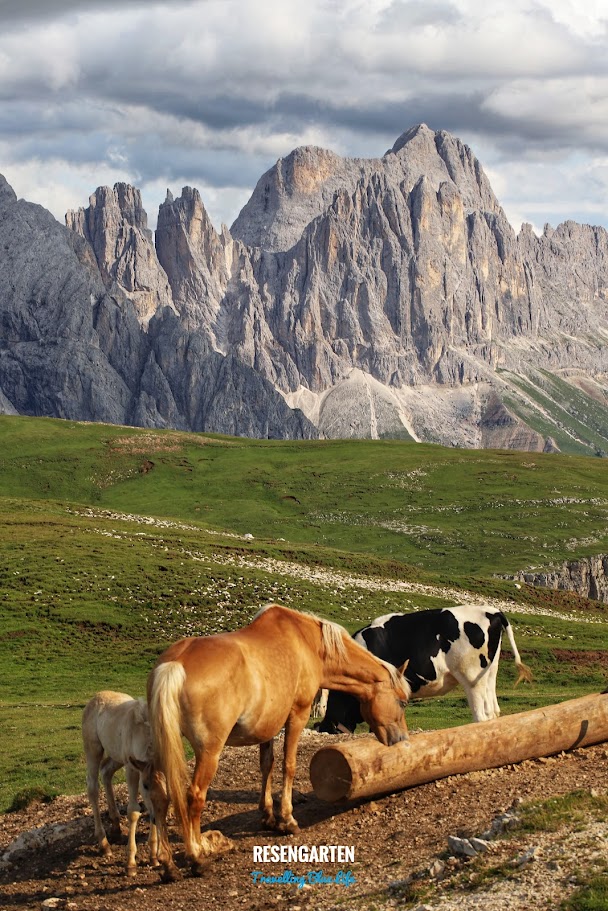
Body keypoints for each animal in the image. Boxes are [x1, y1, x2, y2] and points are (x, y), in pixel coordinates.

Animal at [81, 690, 166, 875]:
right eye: (146, 786)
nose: (158, 818)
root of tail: (96, 697)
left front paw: (154, 856)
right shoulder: (132, 769)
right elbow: (133, 811)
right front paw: (131, 863)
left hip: (116, 756)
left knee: (106, 772)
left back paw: (116, 825)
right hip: (93, 750)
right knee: (93, 787)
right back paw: (104, 844)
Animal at [146, 603, 410, 881]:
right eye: (402, 702)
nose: (401, 739)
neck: (308, 643)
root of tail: (175, 664)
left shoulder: (268, 725)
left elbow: (267, 765)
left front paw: (268, 817)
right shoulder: (297, 715)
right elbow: (289, 765)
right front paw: (287, 820)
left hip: (162, 749)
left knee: (159, 799)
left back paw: (168, 864)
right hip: (209, 752)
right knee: (194, 797)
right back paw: (196, 857)